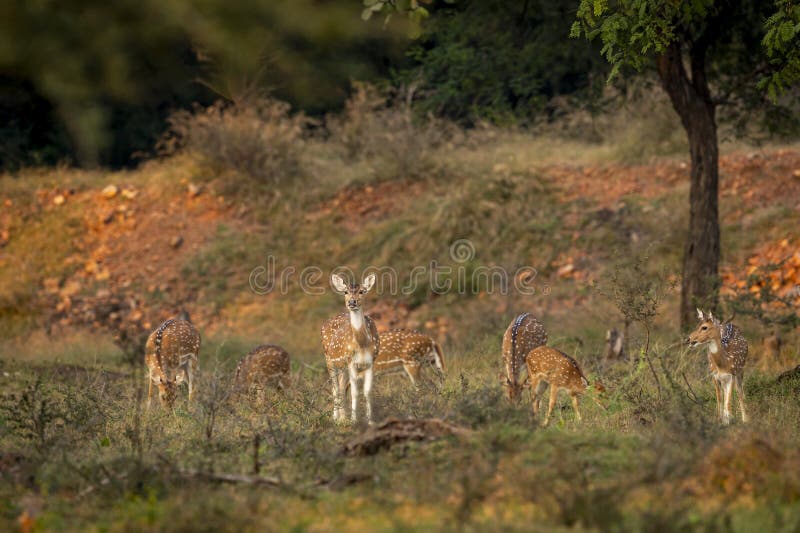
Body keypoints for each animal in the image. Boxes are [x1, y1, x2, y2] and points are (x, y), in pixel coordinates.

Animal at [320, 272, 380, 422]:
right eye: (345, 292)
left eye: (362, 291)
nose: (352, 302)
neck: (362, 344)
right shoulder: (351, 362)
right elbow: (355, 392)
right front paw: (354, 420)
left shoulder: (370, 362)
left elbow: (367, 391)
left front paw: (370, 420)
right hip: (329, 360)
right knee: (335, 388)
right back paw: (336, 418)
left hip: (343, 367)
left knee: (341, 387)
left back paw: (342, 416)